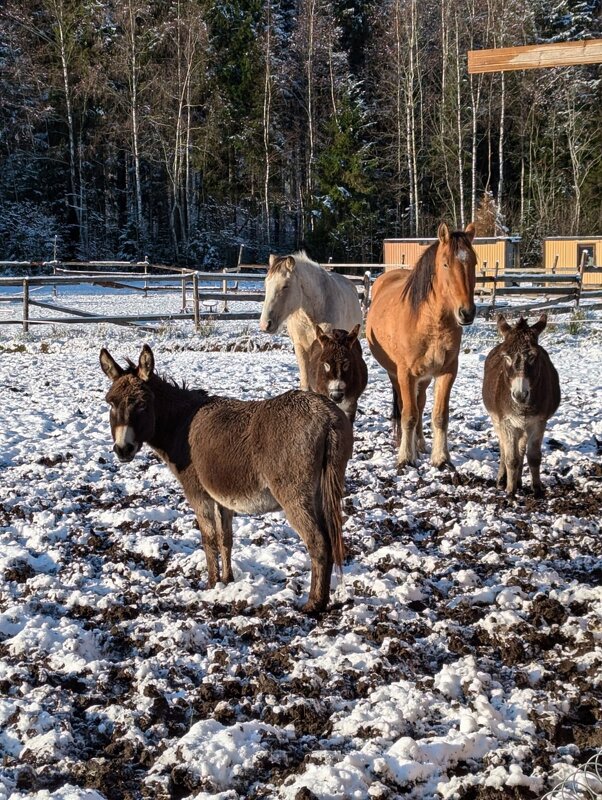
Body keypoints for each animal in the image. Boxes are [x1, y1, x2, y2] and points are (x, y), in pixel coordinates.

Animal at [364, 222, 476, 468]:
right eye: (445, 263)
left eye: (473, 261)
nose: (467, 313)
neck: (430, 322)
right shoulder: (405, 373)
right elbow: (408, 415)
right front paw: (406, 457)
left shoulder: (447, 372)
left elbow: (439, 415)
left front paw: (441, 458)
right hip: (395, 374)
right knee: (404, 406)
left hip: (423, 378)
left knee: (421, 403)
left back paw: (421, 443)